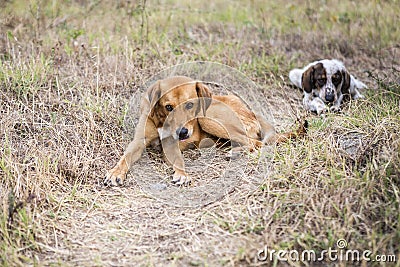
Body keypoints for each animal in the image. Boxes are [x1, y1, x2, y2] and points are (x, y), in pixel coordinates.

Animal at [104, 76, 306, 186]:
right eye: (168, 107)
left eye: (190, 105)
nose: (183, 133)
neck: (162, 121)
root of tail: (250, 110)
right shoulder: (138, 142)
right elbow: (125, 158)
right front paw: (115, 173)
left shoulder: (171, 145)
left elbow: (179, 160)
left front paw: (182, 174)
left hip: (208, 118)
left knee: (256, 143)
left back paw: (236, 153)